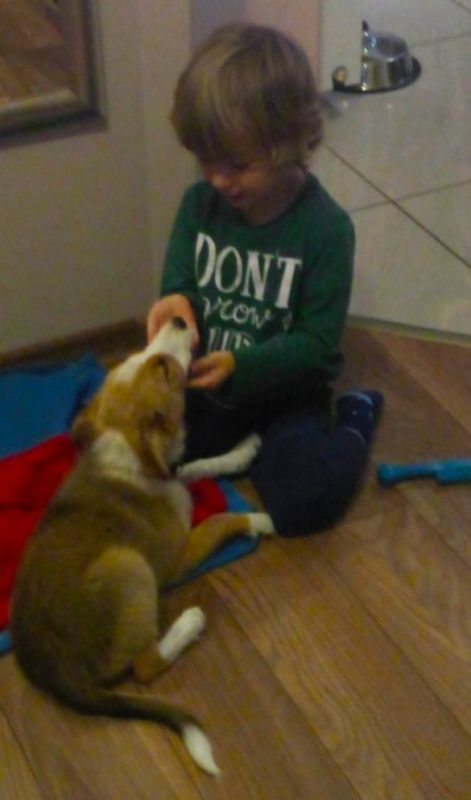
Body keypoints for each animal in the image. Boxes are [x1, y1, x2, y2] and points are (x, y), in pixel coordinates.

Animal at [10, 317, 275, 775]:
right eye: (165, 369)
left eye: (143, 355)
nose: (180, 319)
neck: (131, 453)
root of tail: (57, 674)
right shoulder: (178, 554)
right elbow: (220, 520)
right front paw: (260, 520)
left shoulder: (175, 475)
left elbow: (197, 466)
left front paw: (242, 451)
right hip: (129, 565)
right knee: (144, 667)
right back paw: (188, 623)